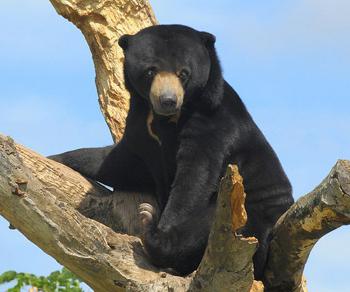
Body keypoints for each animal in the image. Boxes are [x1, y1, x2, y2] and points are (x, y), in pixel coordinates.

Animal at [49, 24, 294, 278]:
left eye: (183, 73)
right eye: (150, 71)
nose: (168, 100)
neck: (166, 119)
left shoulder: (213, 121)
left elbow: (194, 177)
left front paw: (160, 231)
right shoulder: (140, 125)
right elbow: (121, 162)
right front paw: (55, 158)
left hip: (250, 212)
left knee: (208, 225)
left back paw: (151, 228)